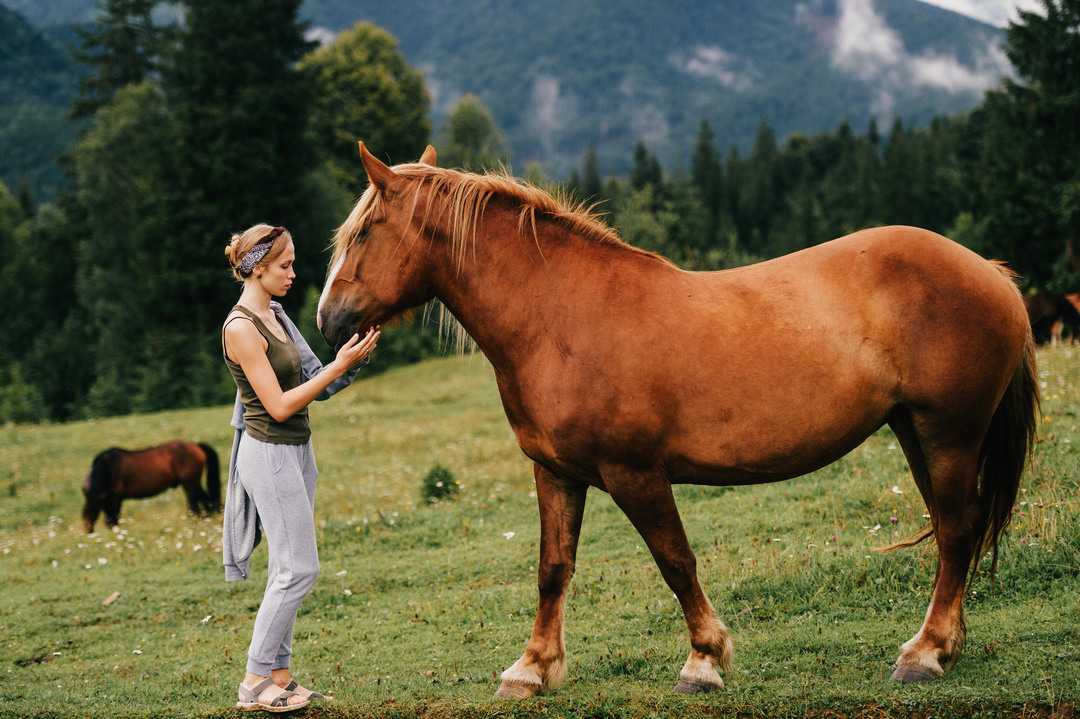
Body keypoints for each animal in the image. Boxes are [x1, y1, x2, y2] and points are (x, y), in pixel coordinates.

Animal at [83, 436, 221, 531]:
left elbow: (113, 519)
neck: (107, 467)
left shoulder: (115, 499)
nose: (88, 532)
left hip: (190, 484)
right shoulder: (107, 499)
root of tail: (196, 445)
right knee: (205, 502)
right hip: (194, 483)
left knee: (196, 505)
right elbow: (110, 520)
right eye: (83, 515)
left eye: (89, 514)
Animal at [317, 144, 1036, 695]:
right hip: (916, 431)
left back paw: (925, 653)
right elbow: (553, 569)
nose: (328, 321)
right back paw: (945, 644)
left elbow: (675, 561)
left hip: (949, 432)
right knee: (955, 529)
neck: (560, 318)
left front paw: (704, 660)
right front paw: (531, 669)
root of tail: (991, 271)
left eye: (363, 233)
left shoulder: (634, 472)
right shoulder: (556, 471)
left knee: (956, 530)